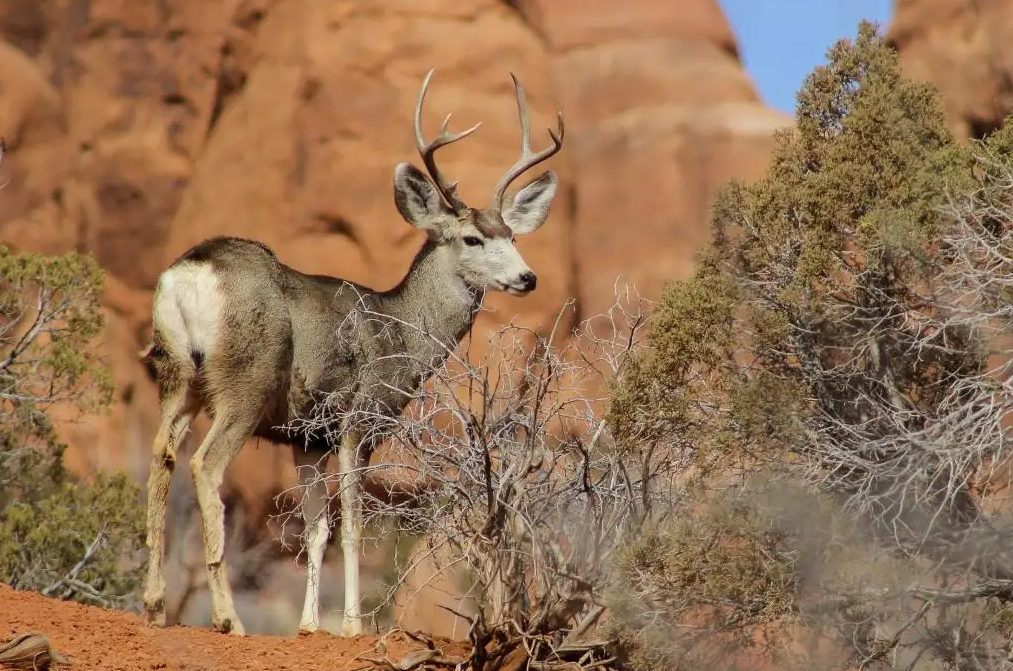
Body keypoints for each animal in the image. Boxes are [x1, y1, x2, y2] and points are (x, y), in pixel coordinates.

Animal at [141, 69, 567, 640]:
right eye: (473, 238)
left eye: (514, 235)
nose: (527, 277)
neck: (403, 335)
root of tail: (192, 272)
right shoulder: (361, 417)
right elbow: (352, 527)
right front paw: (350, 626)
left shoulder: (306, 437)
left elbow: (315, 530)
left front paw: (307, 626)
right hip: (246, 380)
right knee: (205, 467)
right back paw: (229, 618)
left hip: (177, 373)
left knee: (160, 457)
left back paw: (153, 605)